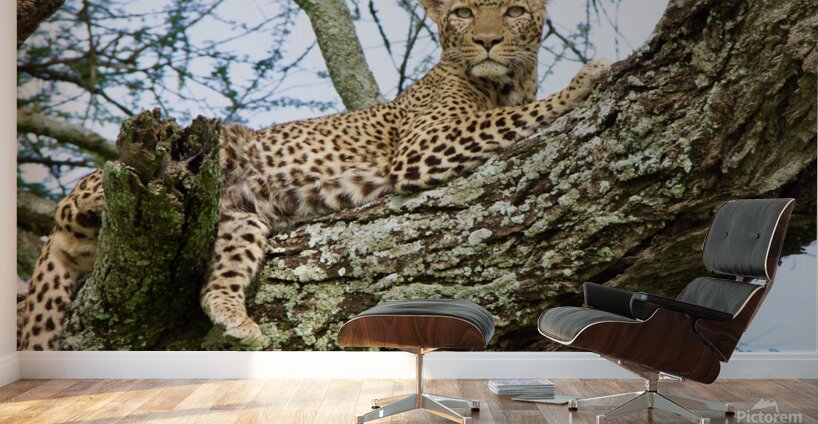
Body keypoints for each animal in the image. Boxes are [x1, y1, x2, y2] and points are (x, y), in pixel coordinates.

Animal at [19, 0, 610, 350]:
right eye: (464, 12)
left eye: (514, 10)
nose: (487, 41)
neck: (507, 82)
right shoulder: (422, 147)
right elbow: (513, 118)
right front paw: (587, 79)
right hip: (164, 171)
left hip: (240, 219)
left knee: (215, 282)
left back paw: (235, 318)